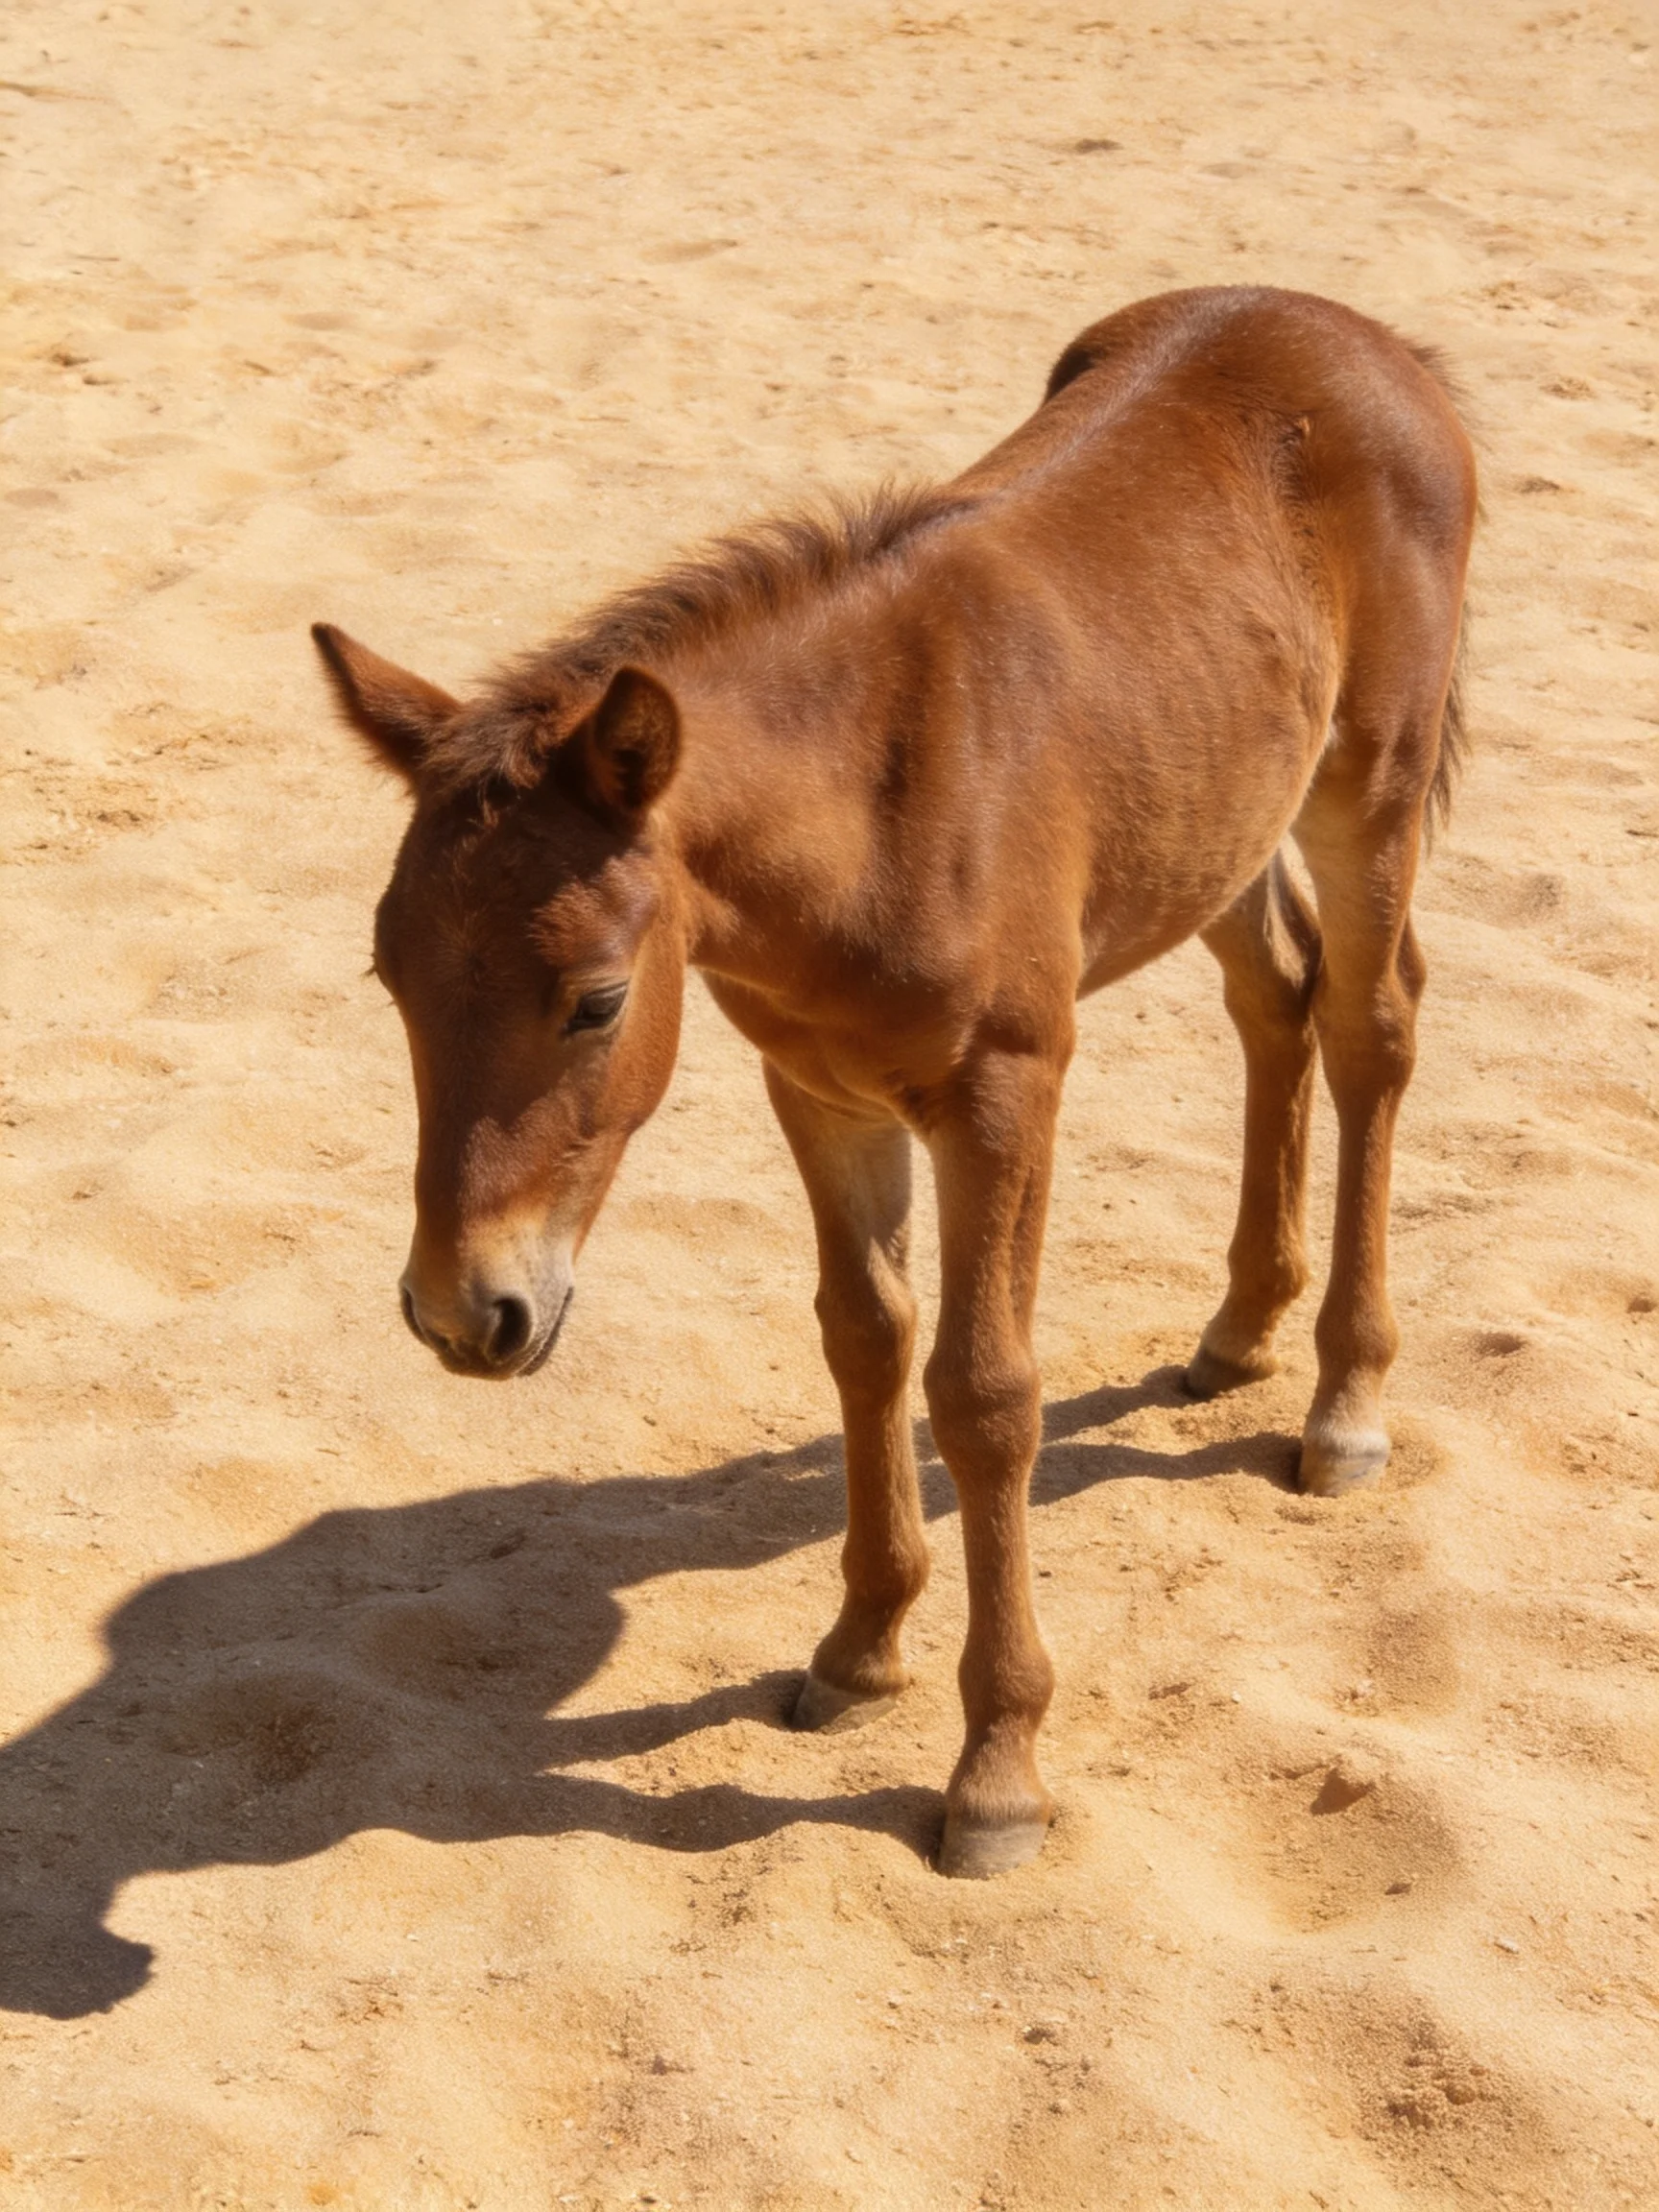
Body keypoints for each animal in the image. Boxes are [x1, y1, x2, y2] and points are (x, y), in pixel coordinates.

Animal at [312, 285, 1476, 1879]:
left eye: (597, 1003)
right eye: (389, 980)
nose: (462, 1314)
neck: (876, 802)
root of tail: (1372, 341)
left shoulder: (1005, 1093)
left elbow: (984, 1395)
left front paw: (996, 1774)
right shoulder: (819, 1088)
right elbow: (865, 1339)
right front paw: (861, 1652)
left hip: (1368, 785)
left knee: (1370, 1026)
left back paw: (1343, 1404)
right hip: (1221, 810)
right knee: (1276, 998)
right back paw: (1241, 1330)